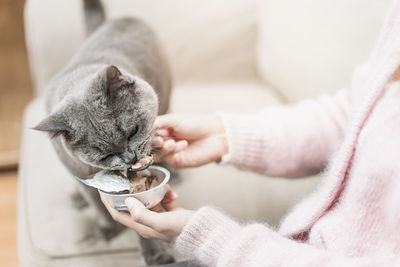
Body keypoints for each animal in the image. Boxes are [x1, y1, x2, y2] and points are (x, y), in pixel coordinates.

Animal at [33, 0, 177, 266]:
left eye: (133, 132)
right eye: (104, 155)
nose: (130, 158)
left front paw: (156, 256)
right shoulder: (78, 170)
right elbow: (97, 204)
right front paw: (108, 228)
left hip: (167, 93)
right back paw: (76, 198)